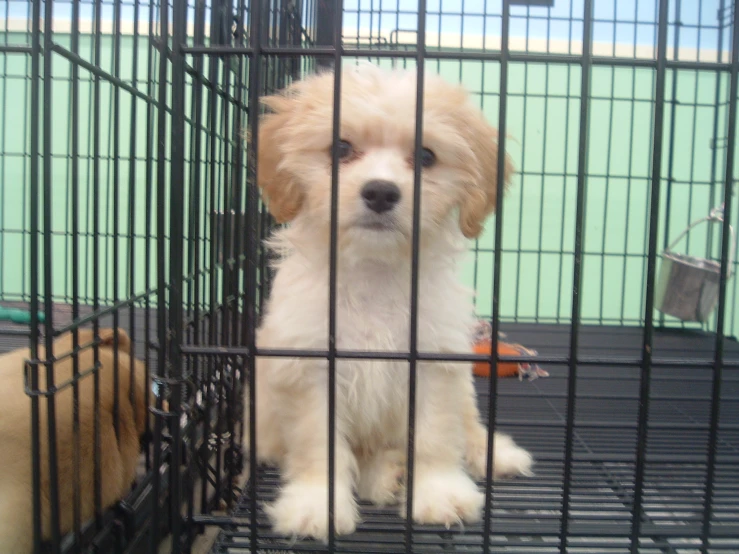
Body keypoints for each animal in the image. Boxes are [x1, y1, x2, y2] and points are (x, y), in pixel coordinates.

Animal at [246, 63, 536, 540]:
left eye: (426, 156)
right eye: (340, 148)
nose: (381, 192)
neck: (375, 274)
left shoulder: (434, 360)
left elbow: (436, 436)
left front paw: (438, 493)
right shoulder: (309, 367)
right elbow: (317, 444)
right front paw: (315, 505)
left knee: (467, 422)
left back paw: (489, 453)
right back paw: (387, 474)